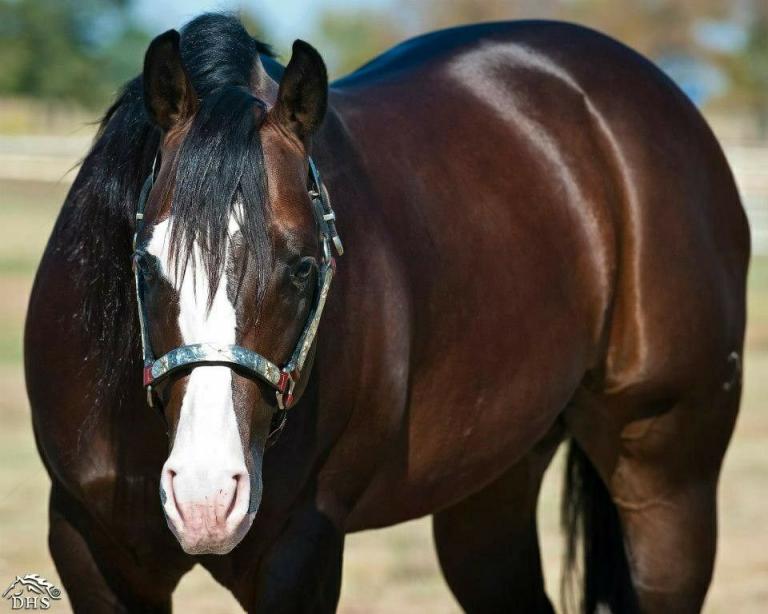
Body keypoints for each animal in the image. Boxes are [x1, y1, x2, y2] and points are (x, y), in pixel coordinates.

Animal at [25, 13, 749, 613]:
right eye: (145, 264)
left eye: (304, 267)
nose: (206, 496)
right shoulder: (88, 548)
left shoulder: (302, 554)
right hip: (491, 491)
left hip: (668, 478)